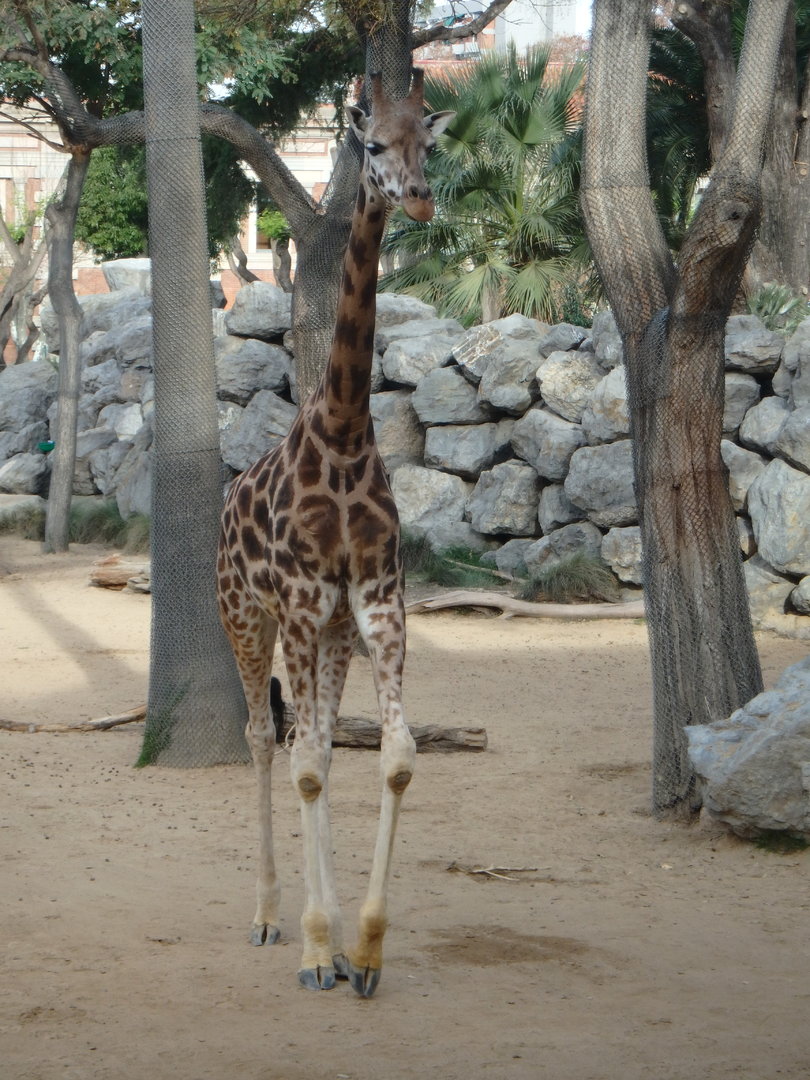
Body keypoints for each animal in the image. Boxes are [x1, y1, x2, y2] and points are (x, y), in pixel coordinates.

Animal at [217, 70, 454, 999]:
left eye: (429, 142)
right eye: (373, 145)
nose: (418, 197)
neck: (348, 429)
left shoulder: (375, 602)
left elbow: (393, 756)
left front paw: (367, 950)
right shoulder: (301, 602)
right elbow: (307, 765)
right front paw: (319, 949)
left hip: (331, 635)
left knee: (309, 735)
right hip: (249, 620)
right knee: (266, 740)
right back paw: (268, 918)